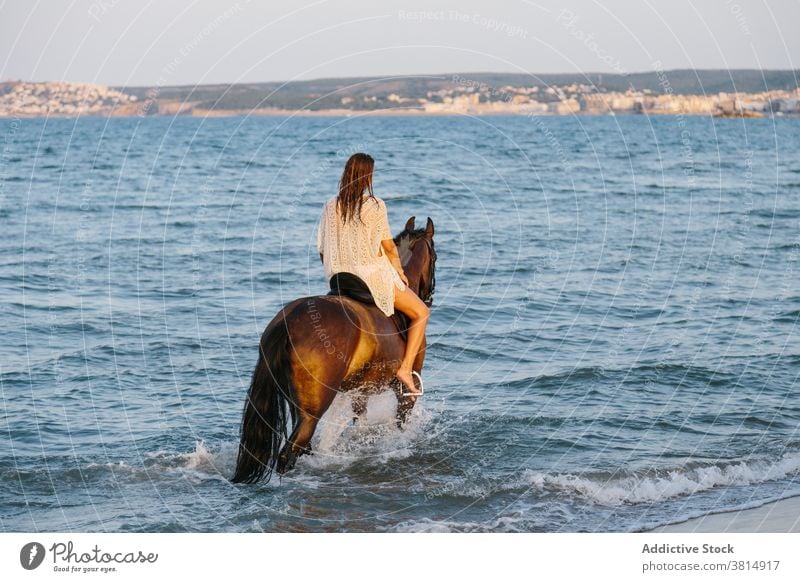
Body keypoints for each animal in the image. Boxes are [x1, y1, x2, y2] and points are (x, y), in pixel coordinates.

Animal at [231, 217, 438, 486]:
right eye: (435, 258)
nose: (428, 297)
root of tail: (287, 323)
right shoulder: (406, 390)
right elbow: (400, 425)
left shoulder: (362, 392)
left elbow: (360, 424)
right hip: (312, 412)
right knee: (289, 453)